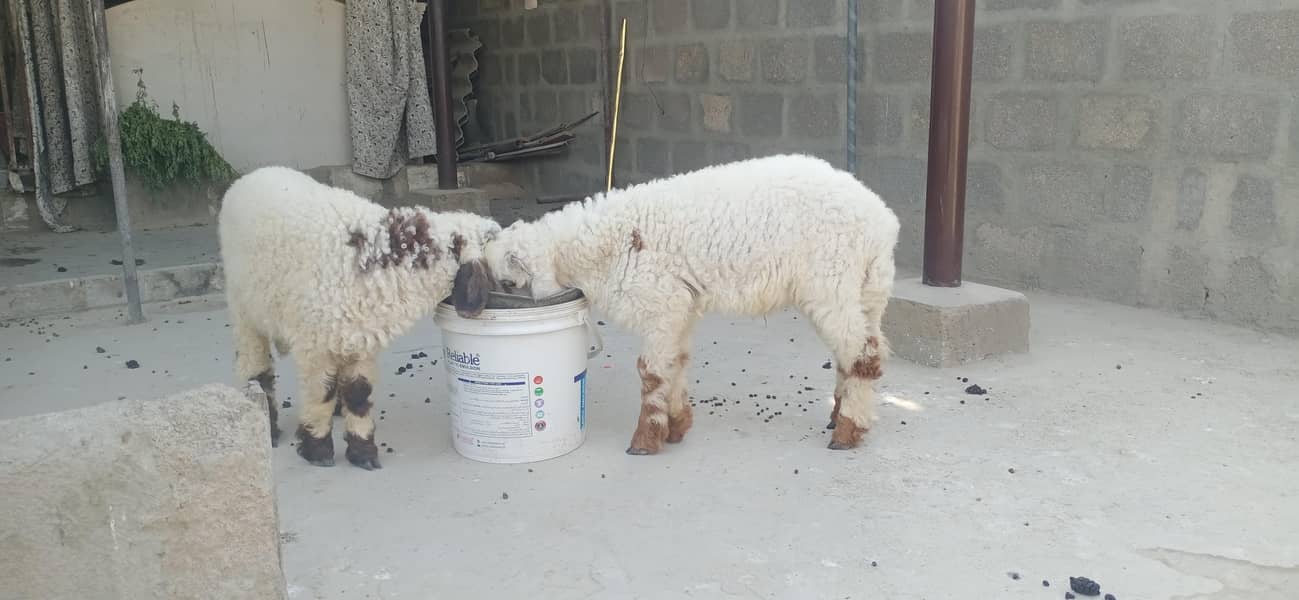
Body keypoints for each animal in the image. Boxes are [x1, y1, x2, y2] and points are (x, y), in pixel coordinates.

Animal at [218, 166, 499, 469]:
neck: (377, 258)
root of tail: (252, 175)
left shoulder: (361, 340)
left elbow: (358, 393)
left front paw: (362, 451)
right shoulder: (315, 343)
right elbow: (321, 393)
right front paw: (317, 449)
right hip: (243, 307)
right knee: (256, 368)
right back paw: (268, 425)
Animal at [463, 154, 900, 455]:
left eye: (507, 281)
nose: (486, 307)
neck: (602, 246)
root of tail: (882, 222)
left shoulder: (661, 303)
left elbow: (651, 372)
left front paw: (645, 439)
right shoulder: (681, 307)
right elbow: (677, 363)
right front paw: (676, 425)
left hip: (832, 280)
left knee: (863, 355)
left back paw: (848, 431)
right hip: (867, 291)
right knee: (859, 351)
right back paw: (839, 414)